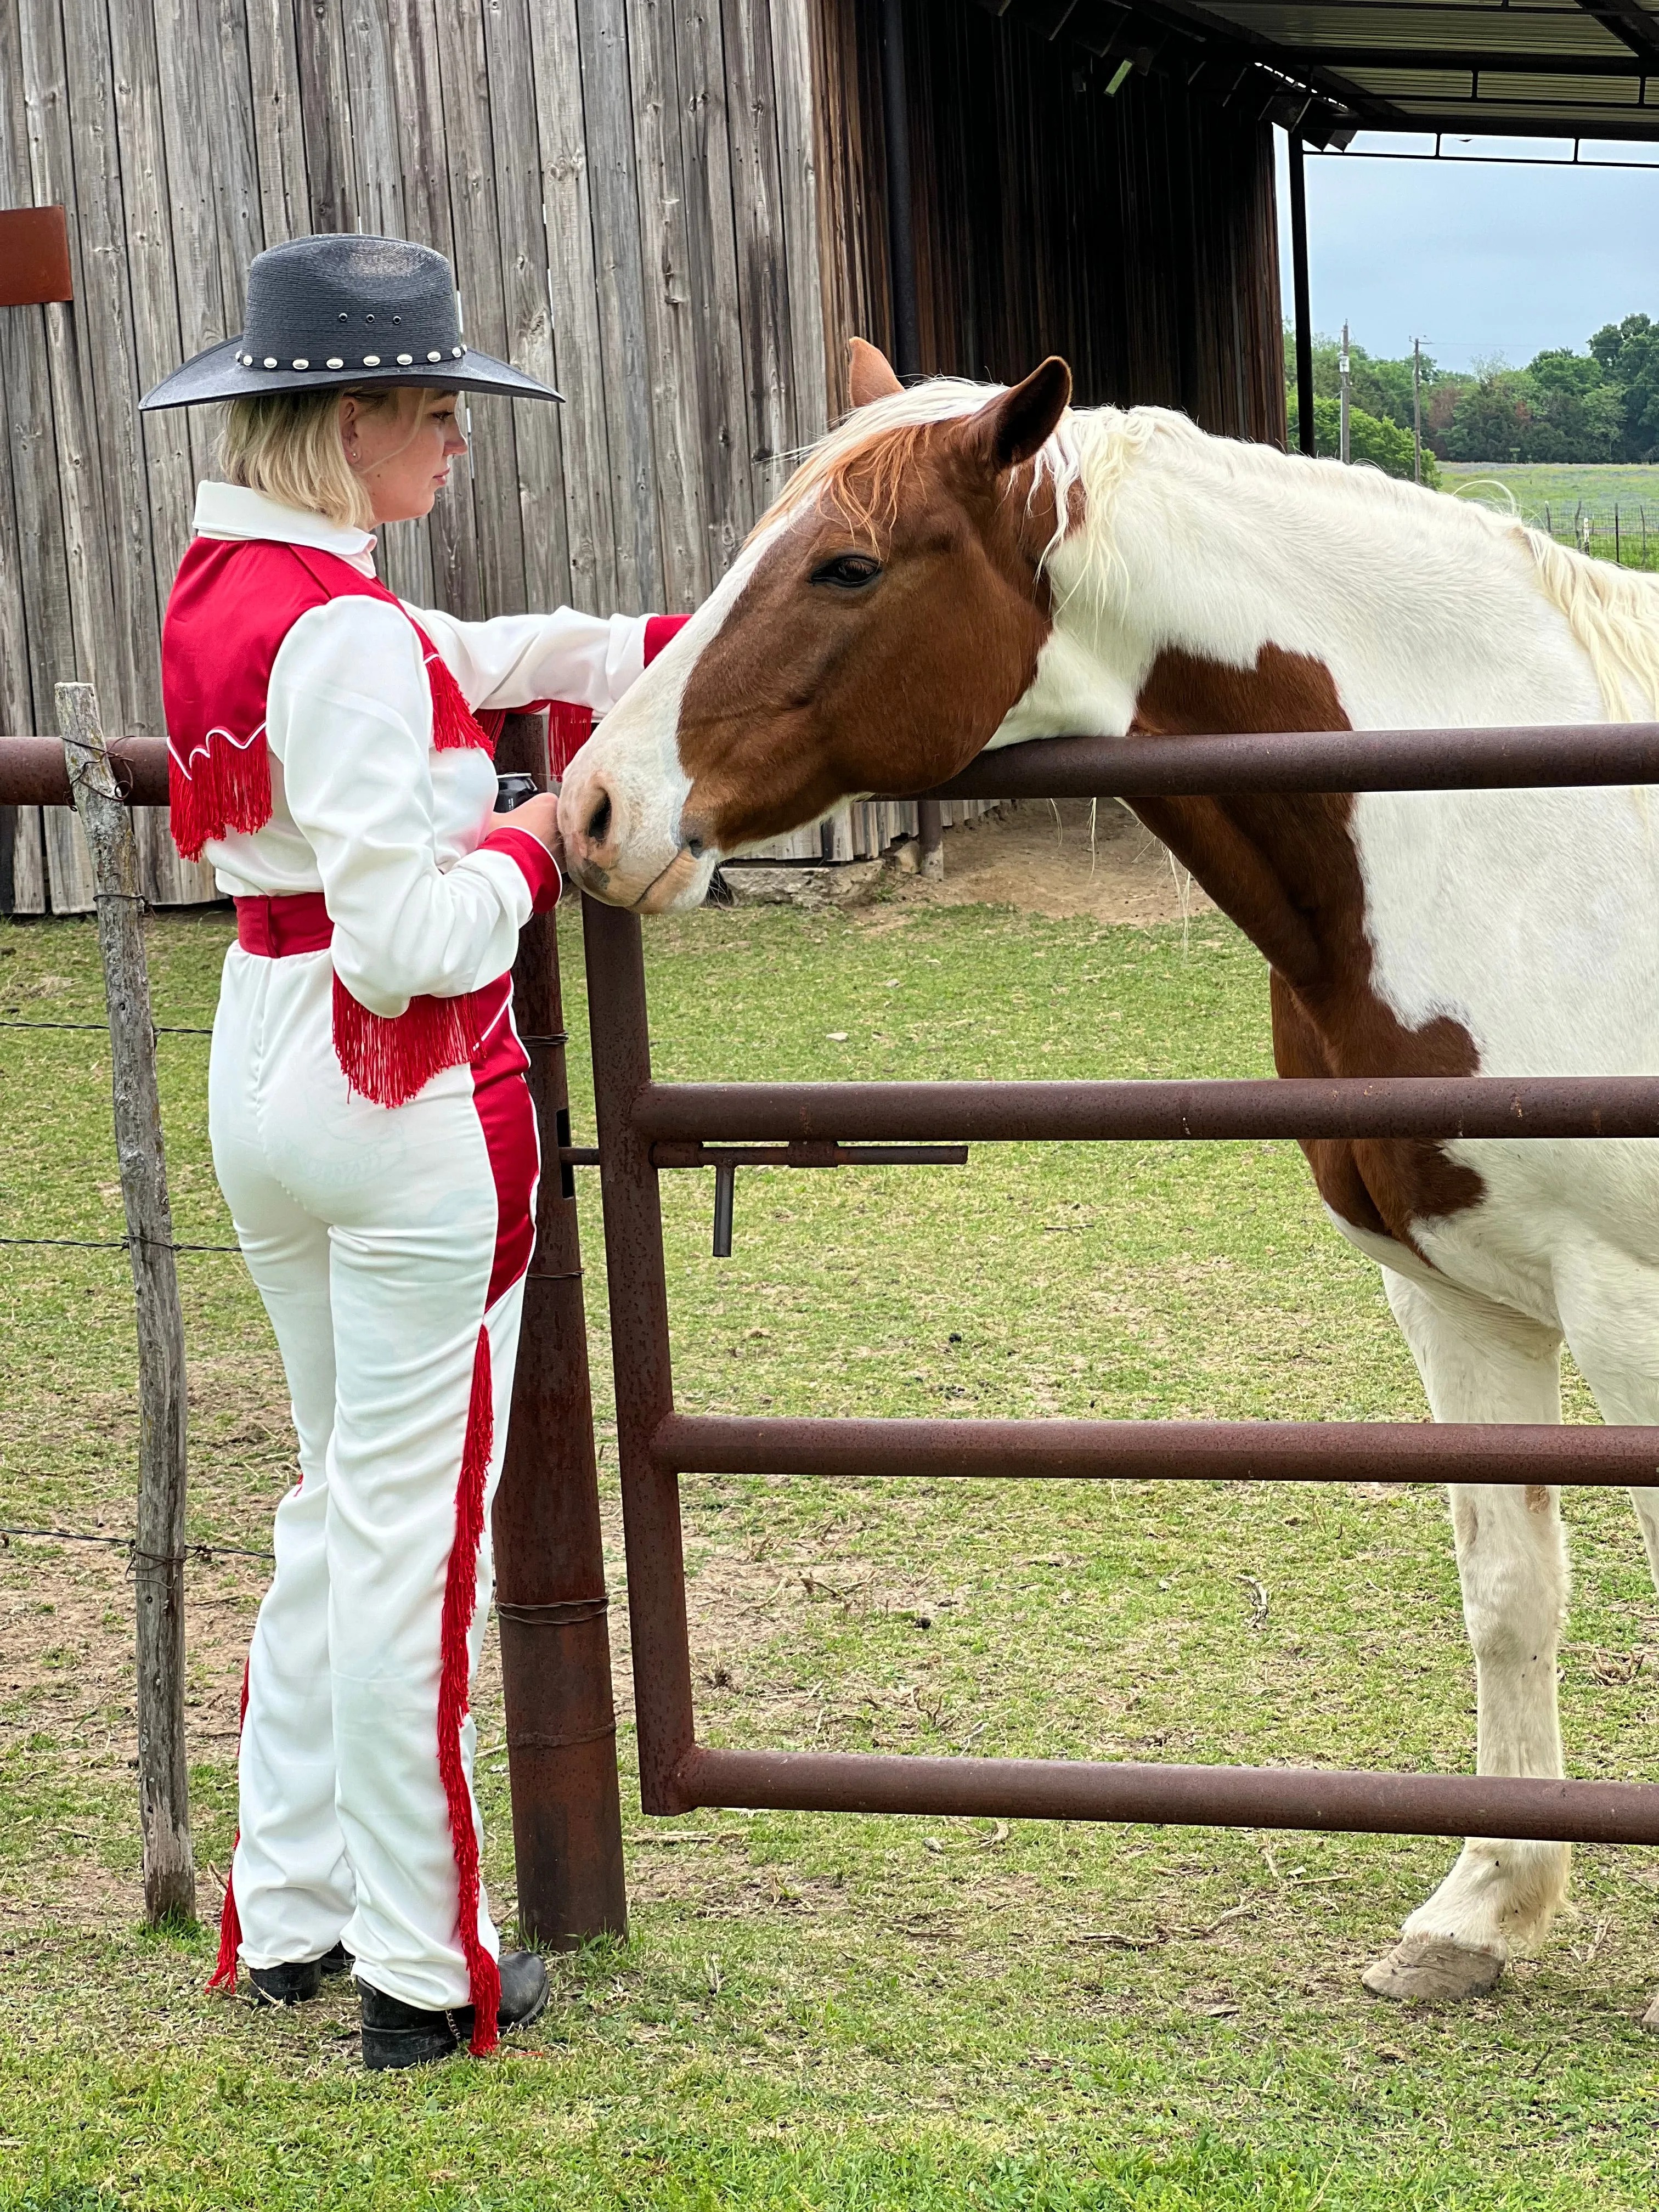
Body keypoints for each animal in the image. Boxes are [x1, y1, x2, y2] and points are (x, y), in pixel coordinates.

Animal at [560, 331, 1659, 2026]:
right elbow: (1510, 1596)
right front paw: (1482, 1909)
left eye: (849, 565)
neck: (1527, 846)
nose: (593, 811)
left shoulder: (1628, 1307)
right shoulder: (1460, 1296)